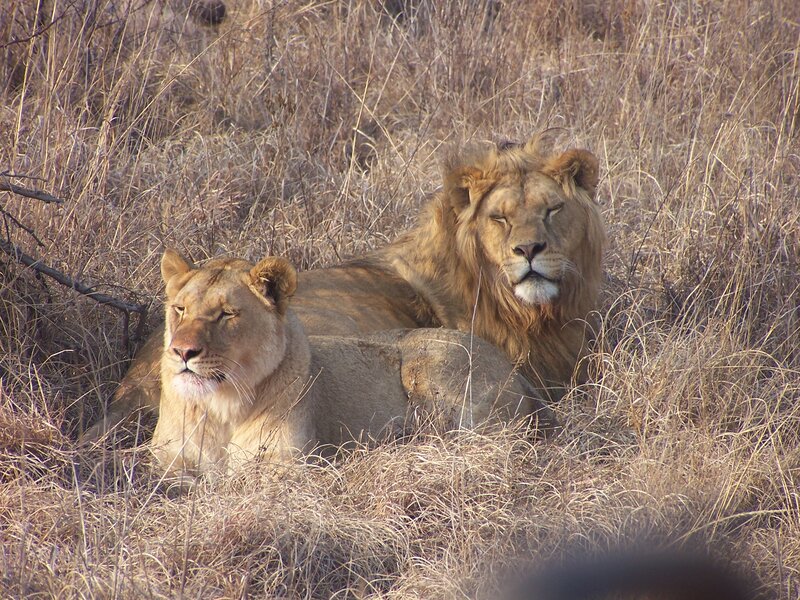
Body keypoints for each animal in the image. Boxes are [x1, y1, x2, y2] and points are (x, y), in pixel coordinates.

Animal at [153, 249, 555, 478]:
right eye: (180, 309)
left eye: (226, 314)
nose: (182, 351)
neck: (219, 408)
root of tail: (517, 372)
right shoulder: (164, 462)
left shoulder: (291, 468)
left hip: (430, 364)